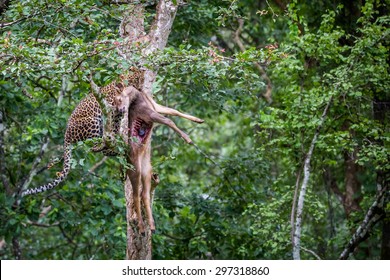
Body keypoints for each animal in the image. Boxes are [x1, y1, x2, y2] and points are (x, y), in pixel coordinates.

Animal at [21, 67, 144, 197]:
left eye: (142, 80)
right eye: (137, 79)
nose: (139, 89)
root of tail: (66, 134)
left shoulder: (119, 114)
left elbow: (115, 126)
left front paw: (116, 137)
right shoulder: (112, 109)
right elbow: (112, 124)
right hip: (92, 121)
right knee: (94, 147)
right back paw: (105, 146)